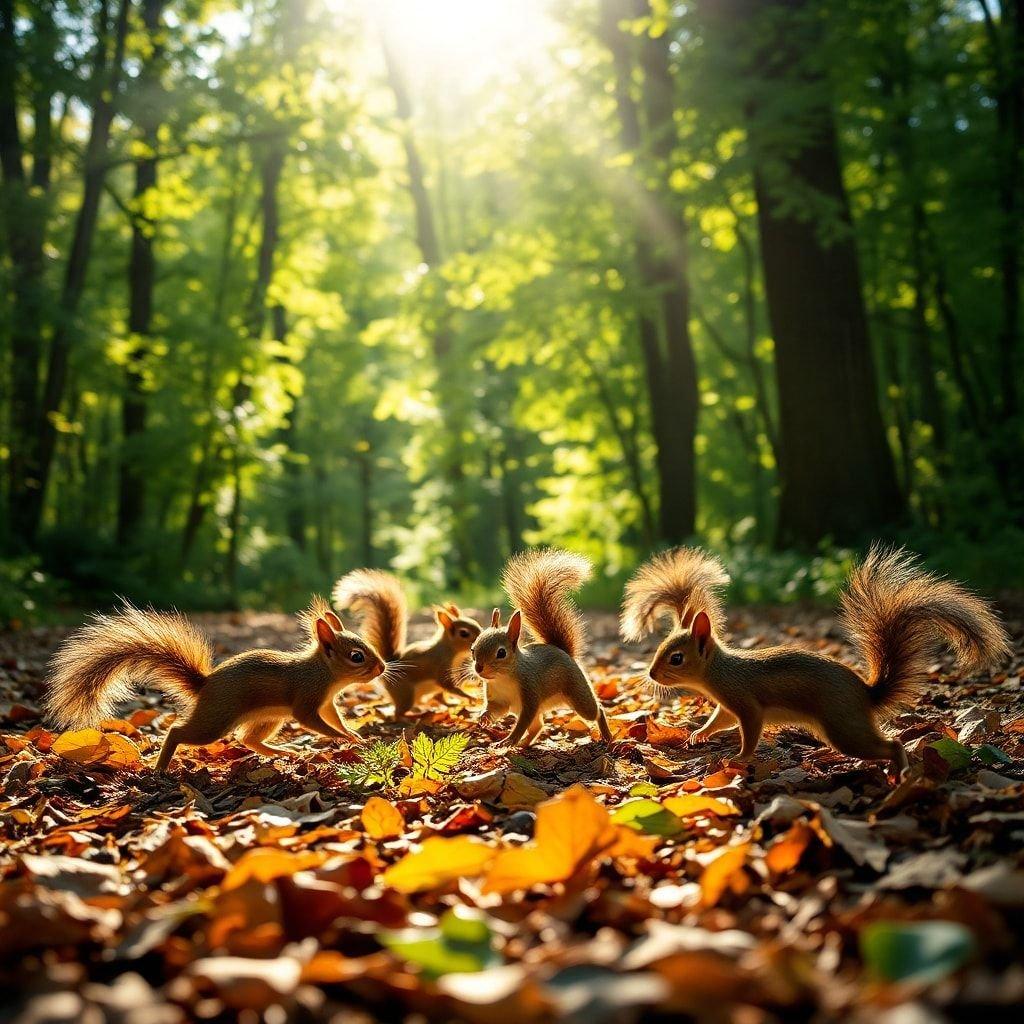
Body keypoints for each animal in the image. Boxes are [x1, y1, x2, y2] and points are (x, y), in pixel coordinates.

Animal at [40, 598, 387, 770]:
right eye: (356, 656)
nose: (382, 667)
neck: (325, 674)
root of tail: (205, 686)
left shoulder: (326, 702)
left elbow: (334, 718)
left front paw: (352, 734)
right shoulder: (307, 696)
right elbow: (314, 722)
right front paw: (346, 739)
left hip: (267, 719)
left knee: (248, 739)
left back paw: (283, 751)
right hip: (216, 720)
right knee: (178, 731)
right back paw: (161, 766)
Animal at [331, 569, 483, 720]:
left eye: (475, 622)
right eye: (464, 633)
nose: (481, 636)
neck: (452, 651)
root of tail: (388, 665)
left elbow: (443, 695)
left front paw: (456, 702)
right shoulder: (441, 666)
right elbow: (449, 687)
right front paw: (470, 697)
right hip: (405, 694)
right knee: (397, 714)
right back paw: (411, 717)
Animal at [468, 548, 610, 749]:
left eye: (501, 653)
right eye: (473, 649)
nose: (479, 668)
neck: (503, 678)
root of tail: (564, 652)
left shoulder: (530, 693)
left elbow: (522, 723)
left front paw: (509, 739)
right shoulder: (498, 699)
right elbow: (496, 709)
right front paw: (483, 717)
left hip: (578, 694)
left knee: (597, 710)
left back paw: (607, 735)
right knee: (538, 726)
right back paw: (523, 744)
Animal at [618, 544, 1011, 774]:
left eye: (676, 658)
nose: (651, 673)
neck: (719, 672)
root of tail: (866, 696)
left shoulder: (745, 701)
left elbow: (750, 730)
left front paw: (740, 758)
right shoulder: (727, 706)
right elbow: (720, 722)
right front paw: (698, 735)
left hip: (843, 727)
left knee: (891, 744)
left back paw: (899, 769)